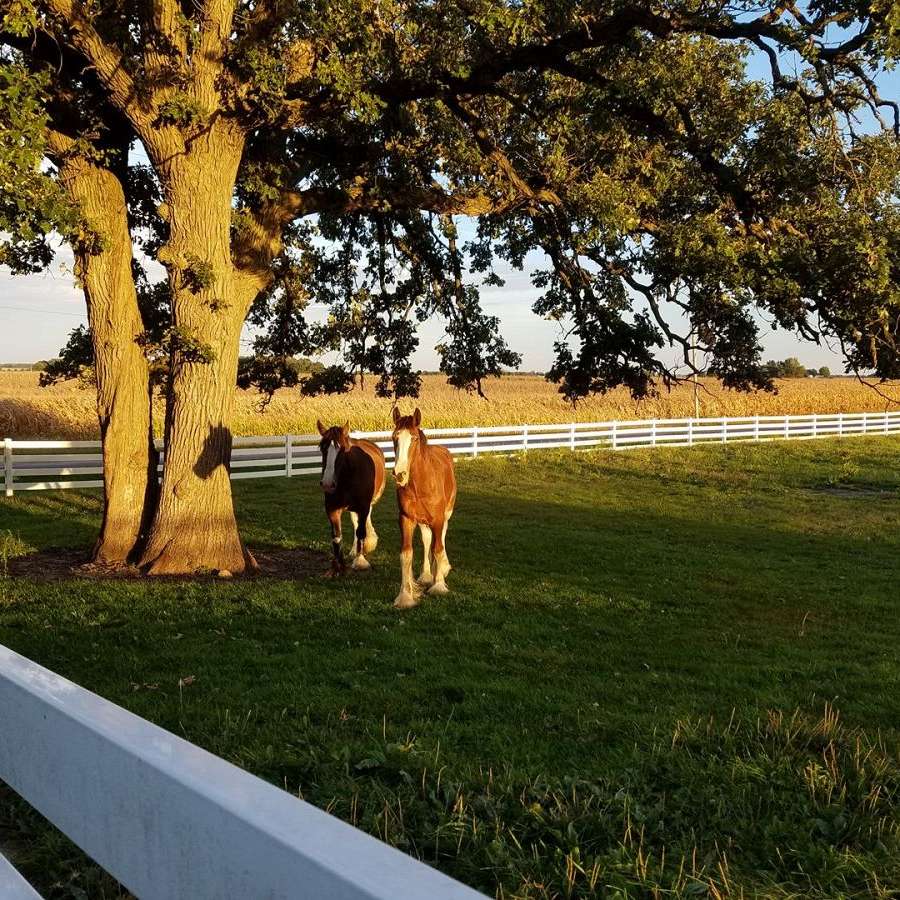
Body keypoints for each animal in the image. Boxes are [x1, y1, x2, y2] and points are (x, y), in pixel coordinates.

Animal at [318, 424, 384, 576]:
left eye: (342, 449)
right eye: (322, 447)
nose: (327, 484)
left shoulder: (364, 507)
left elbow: (361, 531)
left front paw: (360, 561)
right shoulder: (332, 509)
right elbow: (337, 536)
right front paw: (338, 566)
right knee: (355, 523)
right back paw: (354, 550)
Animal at [390, 410, 458, 612]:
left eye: (413, 438)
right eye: (394, 437)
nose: (400, 474)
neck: (419, 484)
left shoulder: (438, 520)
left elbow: (438, 549)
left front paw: (439, 585)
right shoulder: (406, 519)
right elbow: (406, 554)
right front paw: (405, 596)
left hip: (446, 515)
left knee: (441, 538)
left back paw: (442, 568)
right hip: (422, 521)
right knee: (427, 540)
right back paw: (427, 574)